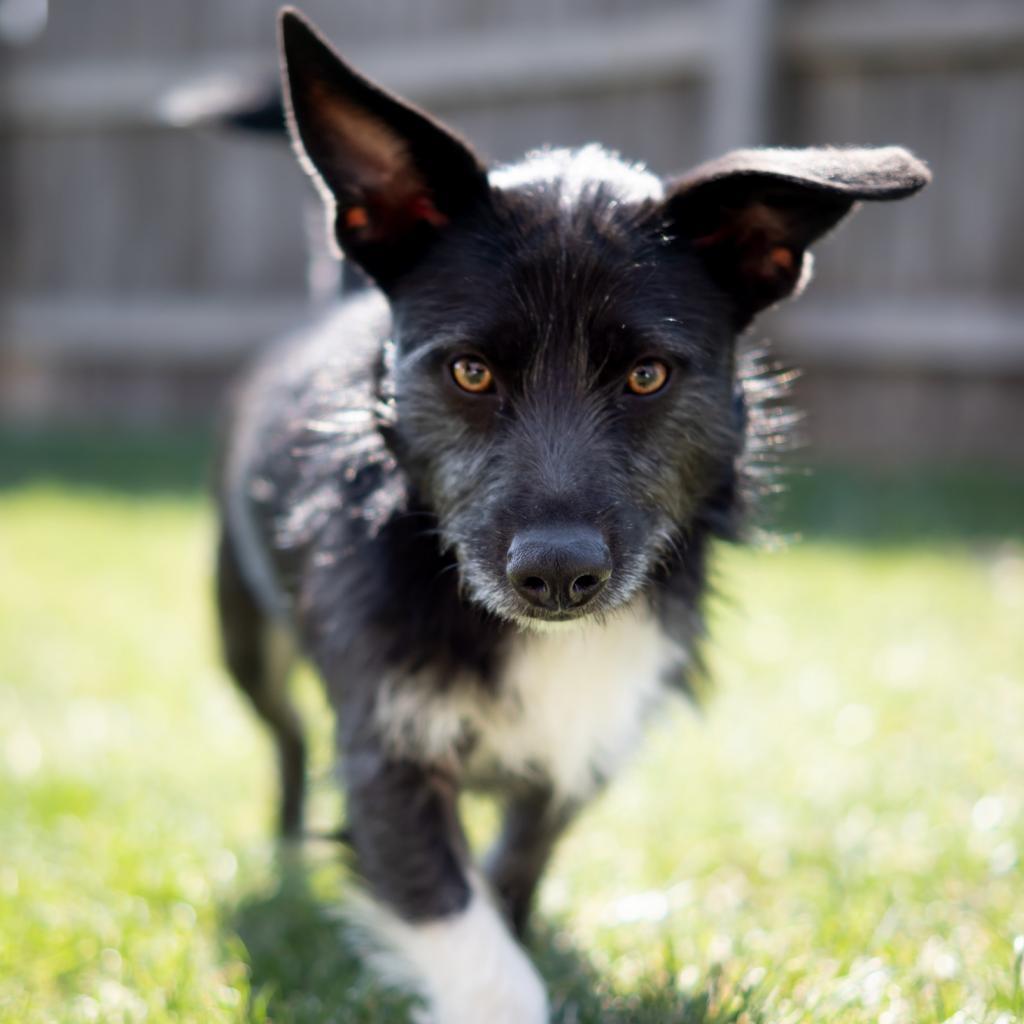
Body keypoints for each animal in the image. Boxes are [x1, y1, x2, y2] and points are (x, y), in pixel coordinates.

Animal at [214, 9, 929, 1024]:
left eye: (647, 375)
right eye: (470, 371)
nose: (556, 573)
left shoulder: (578, 749)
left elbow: (513, 870)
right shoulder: (386, 757)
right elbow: (468, 936)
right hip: (246, 641)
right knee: (283, 739)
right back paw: (279, 858)